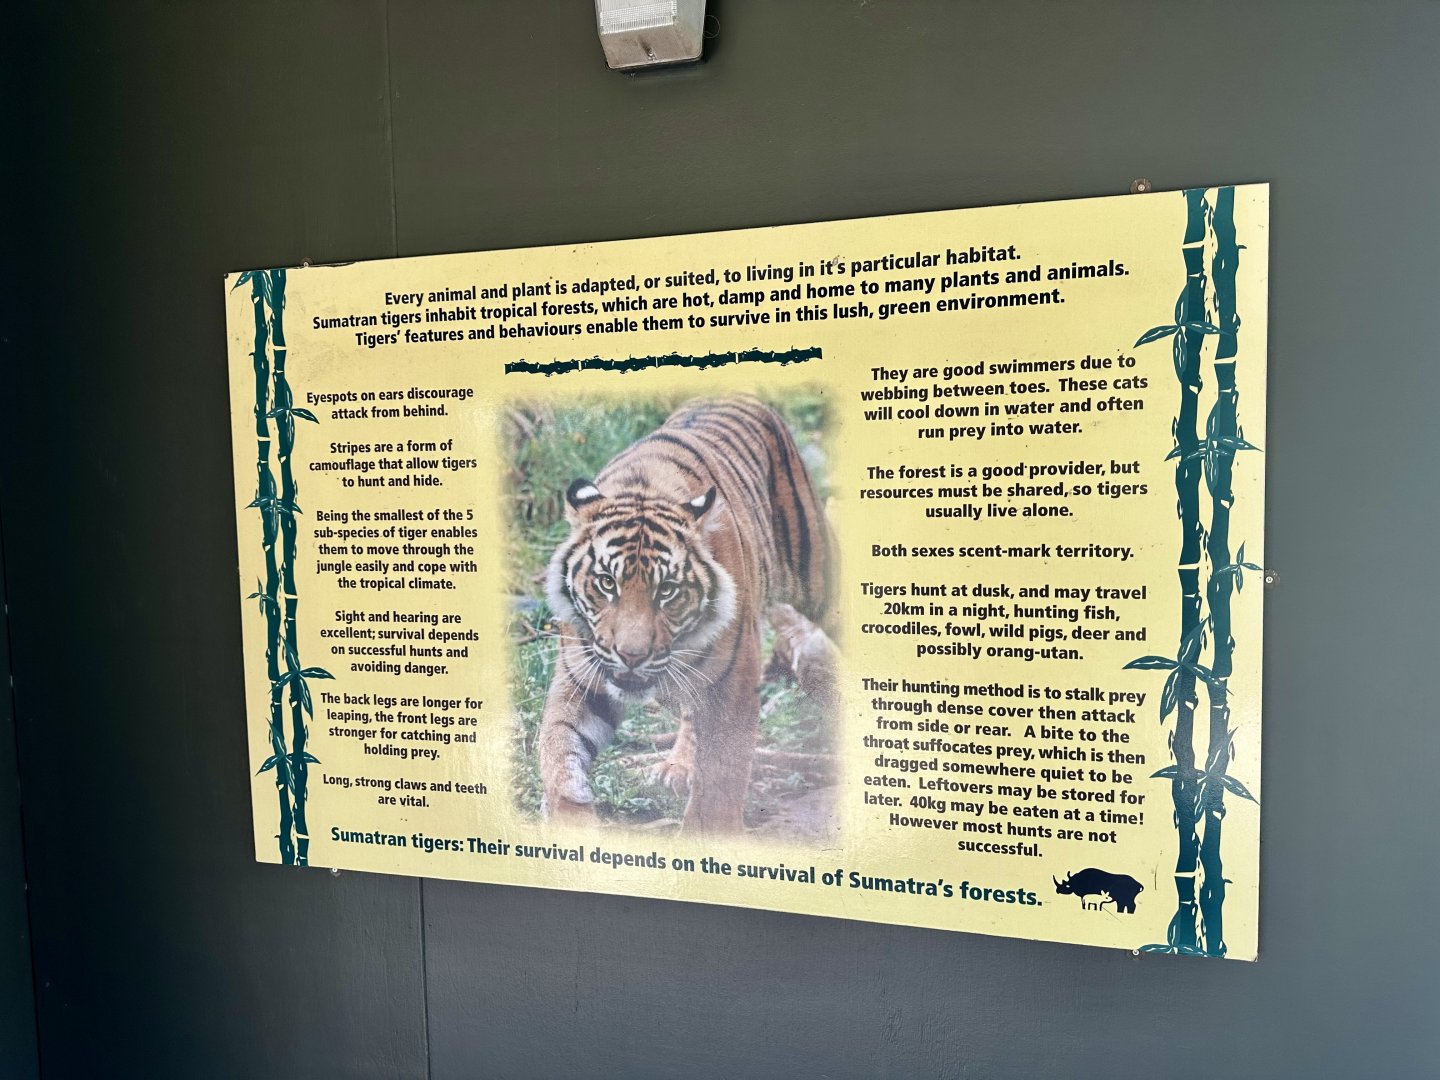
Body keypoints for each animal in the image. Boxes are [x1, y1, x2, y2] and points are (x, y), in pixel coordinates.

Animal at [537, 395, 835, 834]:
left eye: (667, 590)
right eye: (607, 583)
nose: (631, 656)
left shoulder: (735, 678)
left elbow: (722, 771)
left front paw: (709, 835)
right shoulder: (582, 676)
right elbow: (558, 747)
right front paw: (569, 819)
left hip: (819, 573)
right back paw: (677, 767)